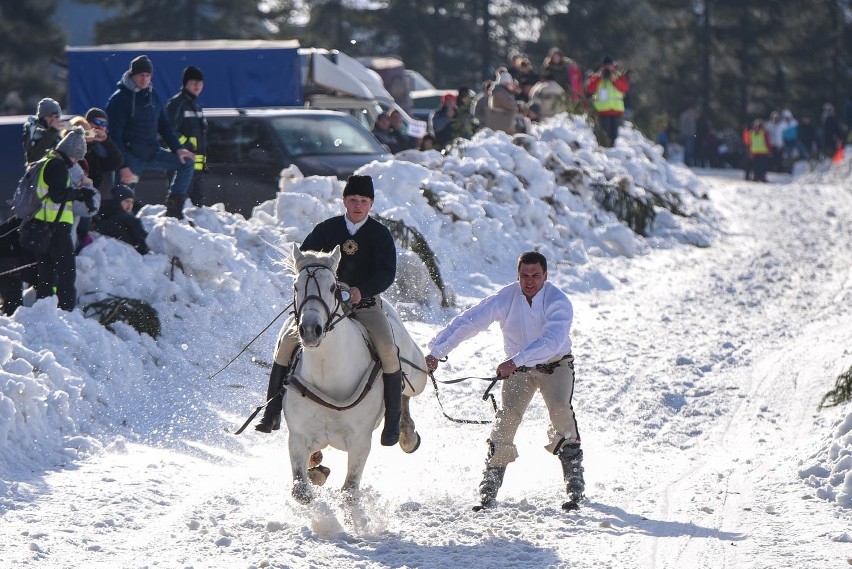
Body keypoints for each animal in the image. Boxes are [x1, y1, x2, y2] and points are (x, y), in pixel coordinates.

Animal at [284, 244, 424, 502]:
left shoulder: (360, 442)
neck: (327, 372)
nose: (310, 330)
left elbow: (349, 490)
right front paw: (317, 470)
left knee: (406, 390)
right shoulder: (297, 436)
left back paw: (406, 435)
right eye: (296, 286)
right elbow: (302, 489)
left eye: (332, 287)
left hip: (417, 374)